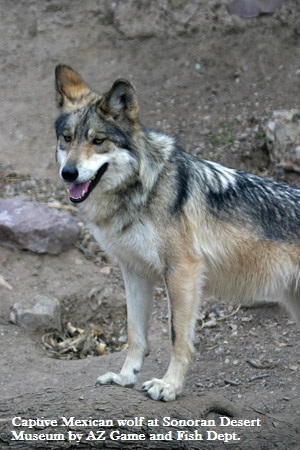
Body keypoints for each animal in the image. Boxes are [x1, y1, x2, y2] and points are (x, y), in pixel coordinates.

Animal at [54, 63, 300, 400]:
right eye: (67, 139)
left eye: (98, 140)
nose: (68, 173)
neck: (144, 189)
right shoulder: (133, 271)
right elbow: (135, 333)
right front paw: (124, 377)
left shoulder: (182, 270)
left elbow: (177, 337)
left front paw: (169, 386)